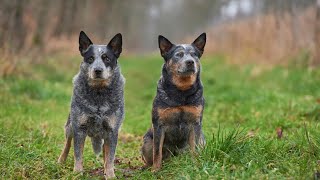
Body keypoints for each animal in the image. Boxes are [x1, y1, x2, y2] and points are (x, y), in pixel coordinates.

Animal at [57, 31, 124, 179]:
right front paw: (77, 172)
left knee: (105, 152)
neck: (98, 94)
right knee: (67, 143)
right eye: (90, 58)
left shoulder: (112, 131)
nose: (98, 70)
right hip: (70, 125)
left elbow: (110, 157)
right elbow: (78, 153)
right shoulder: (79, 128)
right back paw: (61, 160)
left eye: (106, 58)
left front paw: (110, 174)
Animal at [141, 32, 206, 172]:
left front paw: (196, 166)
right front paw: (155, 170)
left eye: (194, 54)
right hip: (147, 142)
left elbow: (195, 149)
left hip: (202, 139)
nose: (190, 62)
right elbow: (157, 152)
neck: (181, 92)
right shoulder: (159, 125)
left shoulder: (195, 123)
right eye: (179, 55)